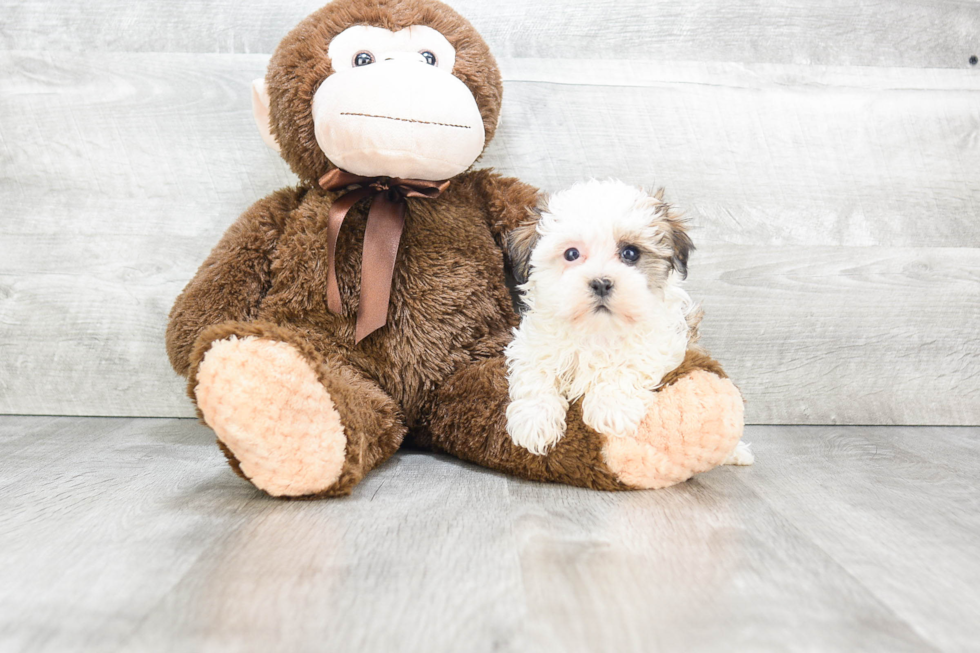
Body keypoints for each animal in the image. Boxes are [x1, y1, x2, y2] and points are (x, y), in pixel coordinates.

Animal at [506, 178, 752, 464]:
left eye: (631, 253)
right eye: (571, 254)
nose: (601, 283)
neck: (598, 329)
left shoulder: (663, 340)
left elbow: (629, 363)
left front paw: (612, 407)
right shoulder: (535, 343)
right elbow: (536, 373)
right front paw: (533, 421)